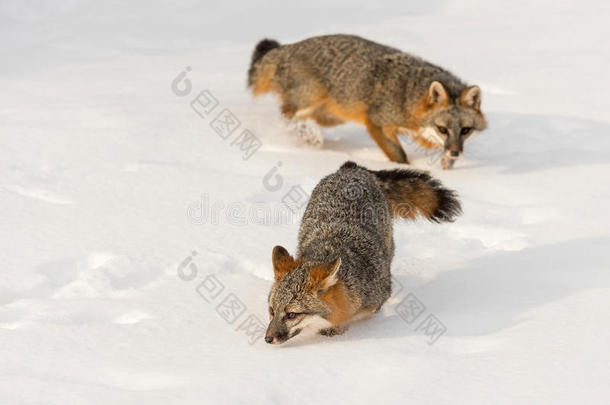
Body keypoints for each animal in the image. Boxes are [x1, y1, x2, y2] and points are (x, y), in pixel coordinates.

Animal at [246, 33, 484, 169]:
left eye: (465, 130)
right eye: (443, 129)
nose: (455, 152)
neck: (407, 95)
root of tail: (289, 47)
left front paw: (446, 165)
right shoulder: (376, 123)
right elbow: (399, 155)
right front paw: (409, 170)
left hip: (332, 116)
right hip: (309, 99)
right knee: (286, 116)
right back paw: (307, 136)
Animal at [264, 161, 458, 344]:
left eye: (291, 314)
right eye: (272, 310)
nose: (267, 339)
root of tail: (351, 169)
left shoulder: (376, 299)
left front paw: (337, 330)